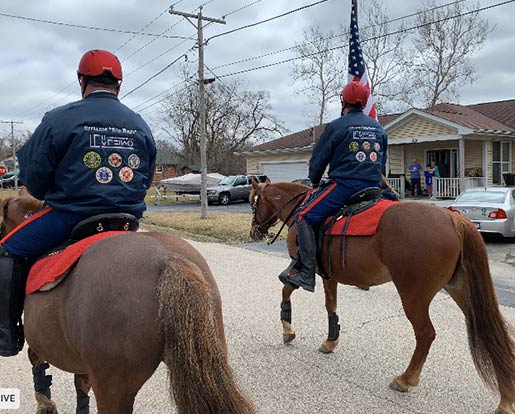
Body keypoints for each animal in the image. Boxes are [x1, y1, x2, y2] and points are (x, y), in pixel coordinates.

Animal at [1, 192, 255, 414]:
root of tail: (169, 259)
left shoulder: (42, 345)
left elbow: (38, 366)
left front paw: (45, 406)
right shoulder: (82, 363)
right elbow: (80, 385)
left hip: (114, 388)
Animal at [252, 181, 515, 414]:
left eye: (254, 202)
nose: (255, 230)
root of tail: (453, 219)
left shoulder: (300, 269)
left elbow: (286, 290)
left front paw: (288, 331)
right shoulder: (329, 275)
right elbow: (331, 305)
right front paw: (330, 341)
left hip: (413, 295)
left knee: (426, 334)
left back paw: (405, 379)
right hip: (461, 290)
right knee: (489, 334)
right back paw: (506, 398)